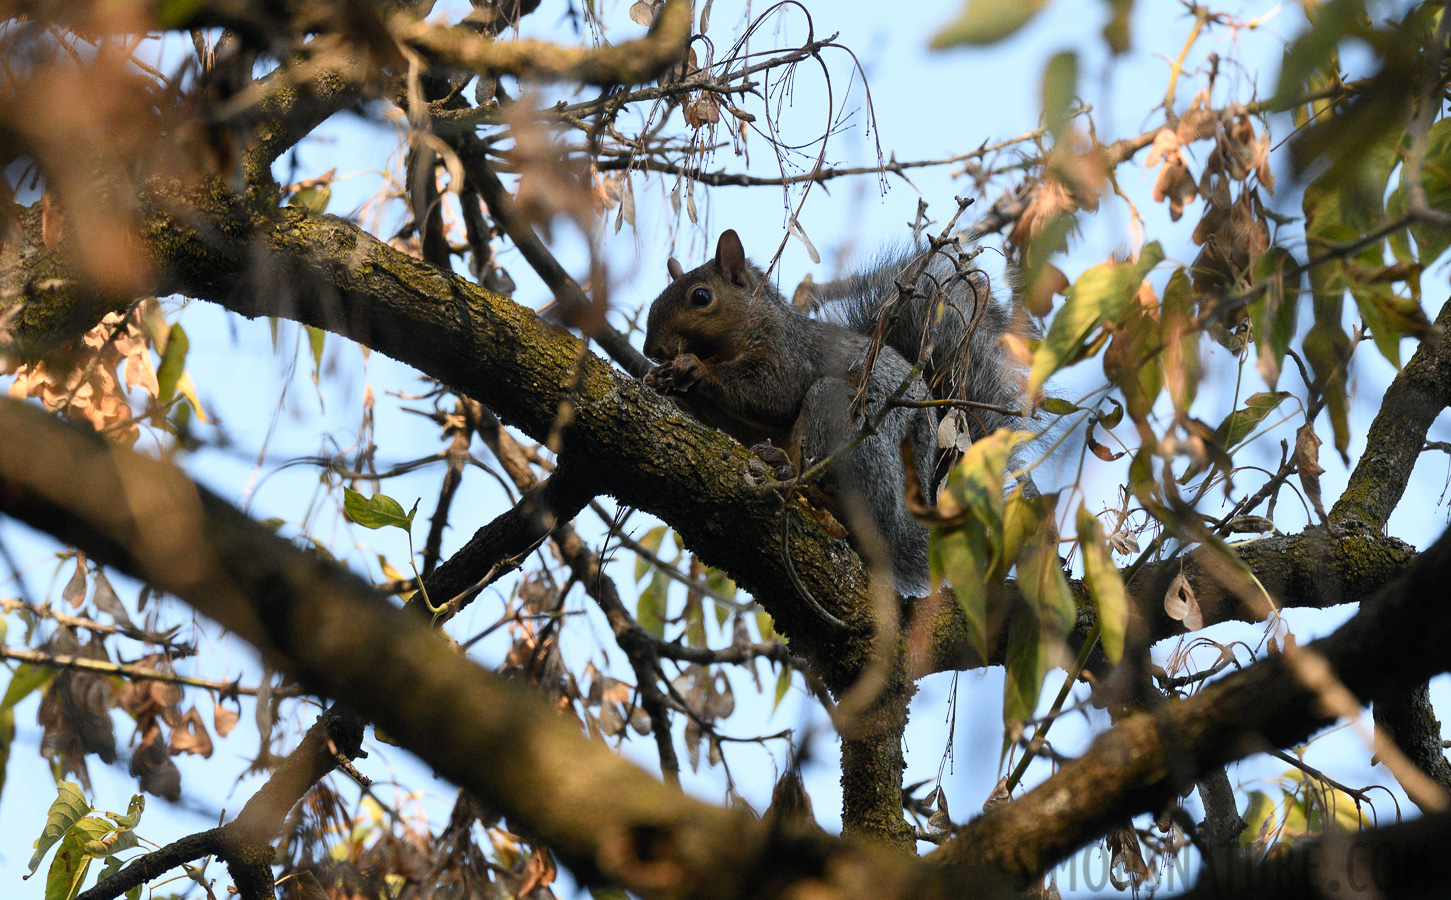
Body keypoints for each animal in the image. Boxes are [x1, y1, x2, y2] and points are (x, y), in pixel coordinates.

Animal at [641, 230, 1027, 598]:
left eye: (701, 297)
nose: (651, 350)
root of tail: (909, 534)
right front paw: (663, 382)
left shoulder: (789, 353)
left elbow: (770, 394)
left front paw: (696, 369)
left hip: (850, 426)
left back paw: (798, 479)